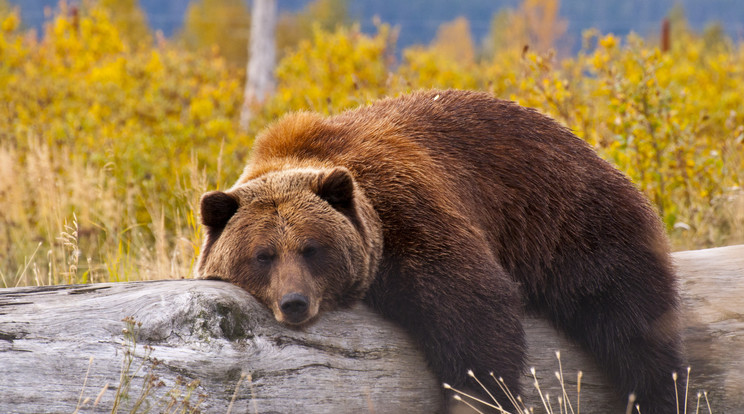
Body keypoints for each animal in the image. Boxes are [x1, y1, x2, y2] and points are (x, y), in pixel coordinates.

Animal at [196, 89, 684, 412]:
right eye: (262, 255)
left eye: (311, 248)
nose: (294, 302)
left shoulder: (408, 211)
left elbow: (473, 310)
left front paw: (480, 395)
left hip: (572, 224)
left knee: (632, 322)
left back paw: (658, 393)